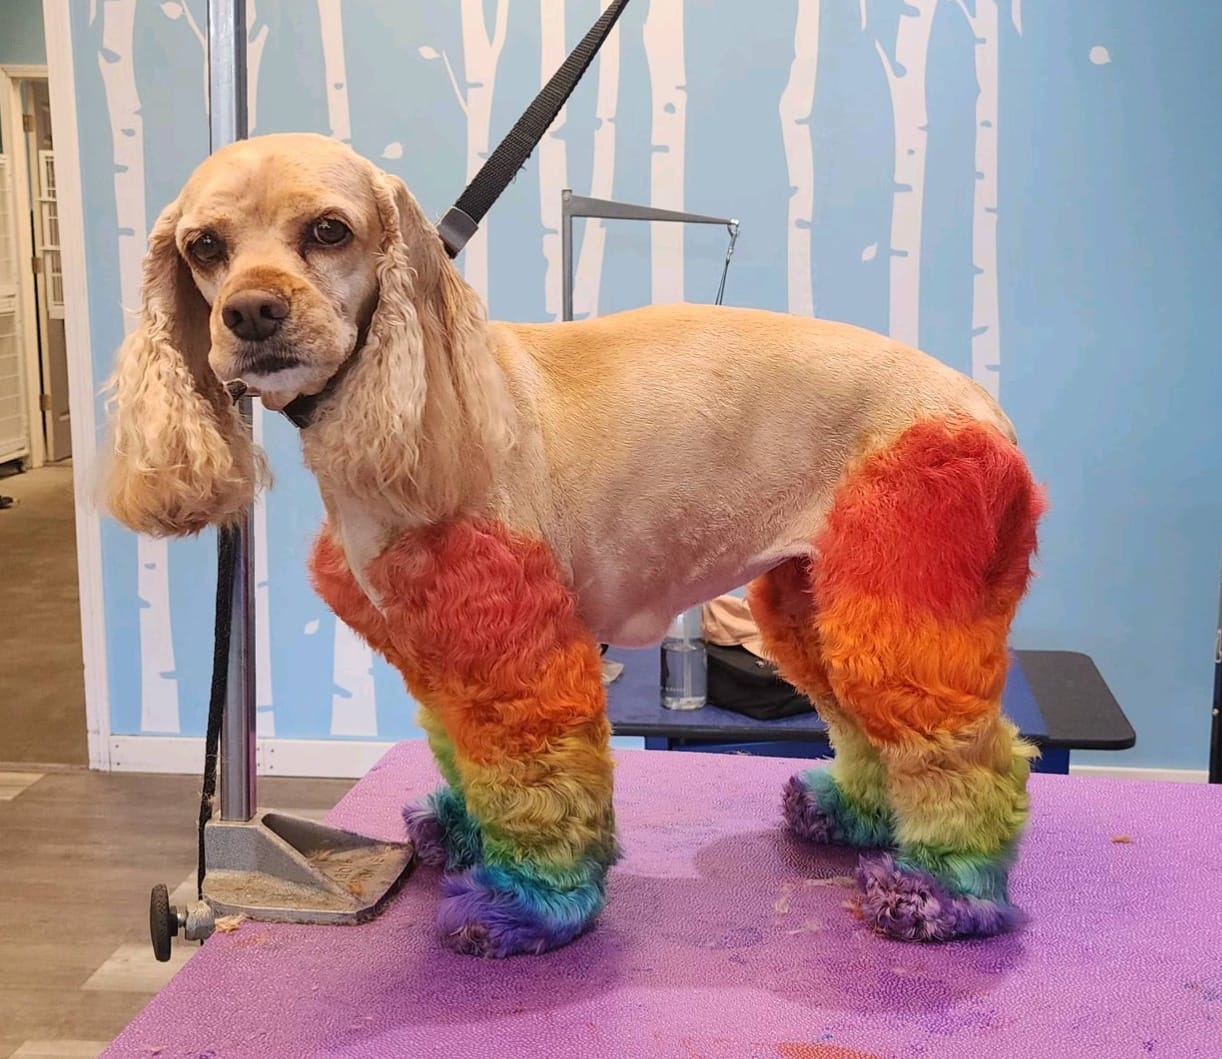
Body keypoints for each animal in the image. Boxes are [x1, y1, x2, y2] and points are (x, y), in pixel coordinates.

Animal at [102, 132, 1050, 962]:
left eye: (328, 231)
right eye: (204, 246)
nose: (250, 311)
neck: (417, 388)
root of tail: (986, 410)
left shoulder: (520, 650)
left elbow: (536, 784)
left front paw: (526, 906)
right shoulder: (437, 649)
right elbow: (464, 753)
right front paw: (461, 829)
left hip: (900, 595)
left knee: (971, 753)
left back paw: (942, 894)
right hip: (819, 602)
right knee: (868, 727)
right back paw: (850, 814)